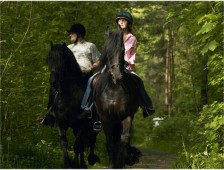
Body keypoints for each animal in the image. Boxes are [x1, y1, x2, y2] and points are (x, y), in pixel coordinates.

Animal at [93, 28, 142, 168]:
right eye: (107, 50)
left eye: (122, 50)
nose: (117, 76)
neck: (113, 89)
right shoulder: (105, 118)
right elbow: (110, 142)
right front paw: (112, 164)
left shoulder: (126, 115)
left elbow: (123, 140)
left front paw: (122, 162)